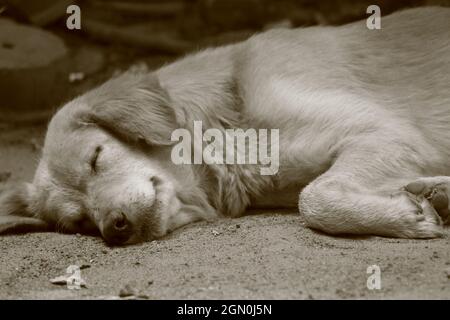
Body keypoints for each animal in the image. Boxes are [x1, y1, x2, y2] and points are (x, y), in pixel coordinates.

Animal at [0, 7, 450, 244]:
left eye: (96, 158)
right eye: (78, 222)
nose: (115, 227)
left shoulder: (383, 132)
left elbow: (314, 198)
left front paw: (410, 214)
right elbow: (316, 194)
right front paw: (421, 200)